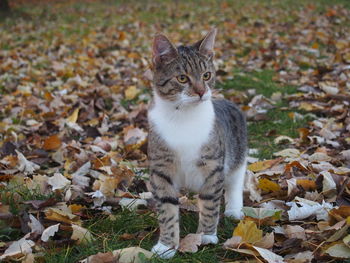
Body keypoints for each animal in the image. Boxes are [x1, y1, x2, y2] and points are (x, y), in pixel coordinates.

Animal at [148, 28, 249, 258]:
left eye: (206, 75)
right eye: (182, 78)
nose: (202, 91)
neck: (183, 117)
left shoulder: (212, 166)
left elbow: (210, 201)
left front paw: (206, 236)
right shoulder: (161, 168)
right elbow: (167, 207)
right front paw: (166, 245)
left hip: (237, 152)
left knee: (234, 181)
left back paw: (233, 209)